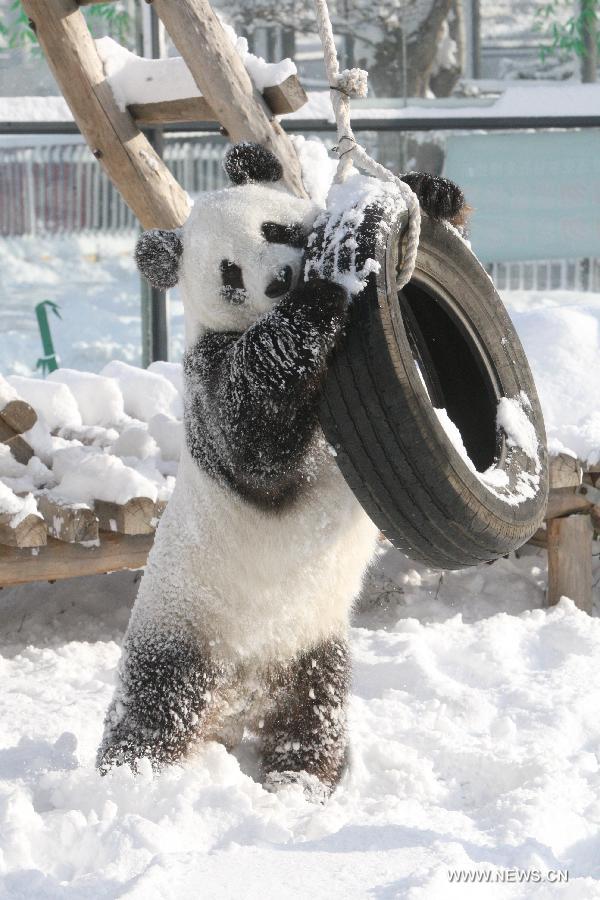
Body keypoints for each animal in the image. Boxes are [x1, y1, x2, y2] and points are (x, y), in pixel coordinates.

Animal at [97, 142, 464, 800]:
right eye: (229, 274)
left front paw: (431, 193)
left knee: (313, 710)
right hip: (182, 628)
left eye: (273, 228)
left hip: (311, 644)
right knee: (152, 711)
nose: (280, 279)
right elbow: (254, 434)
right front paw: (333, 271)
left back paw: (300, 783)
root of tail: (236, 699)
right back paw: (132, 781)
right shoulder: (209, 374)